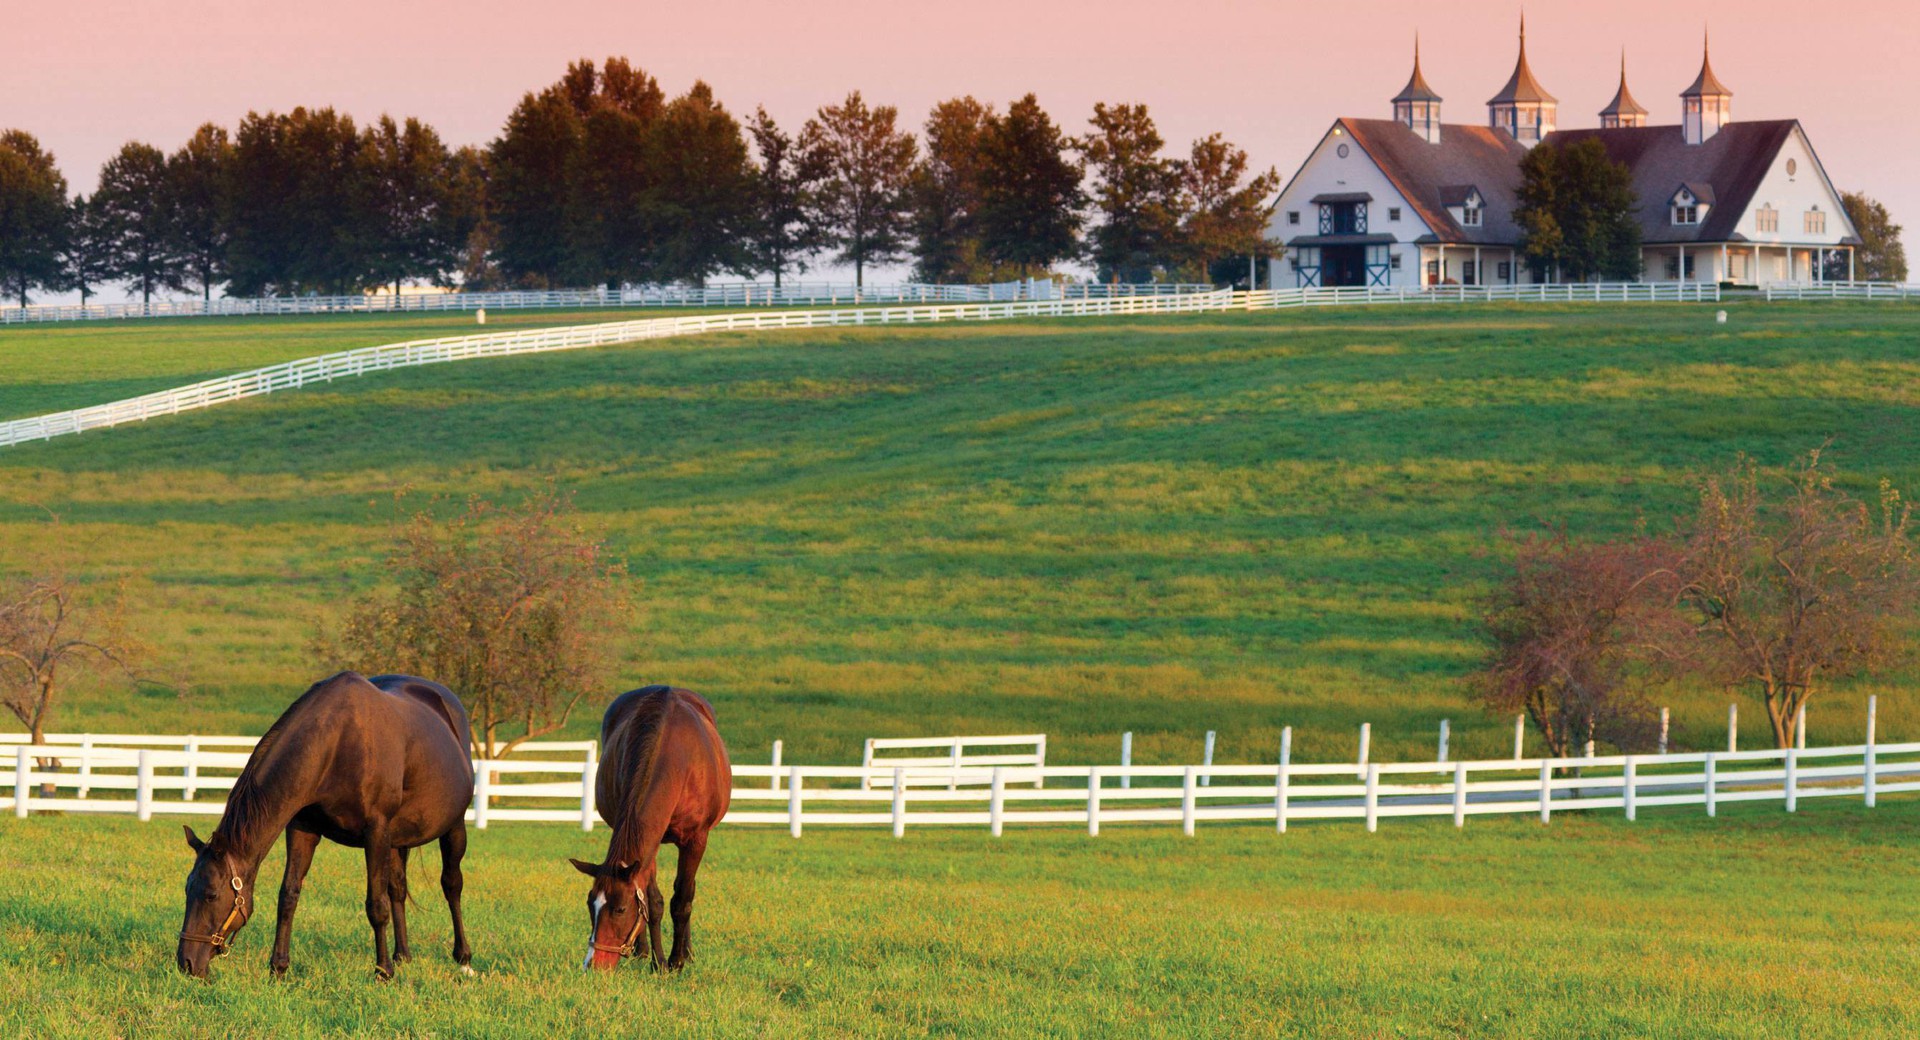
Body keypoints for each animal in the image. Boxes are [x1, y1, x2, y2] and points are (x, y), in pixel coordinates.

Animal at [176, 671, 476, 982]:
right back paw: (402, 955)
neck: (337, 744)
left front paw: (383, 972)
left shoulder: (376, 831)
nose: (186, 962)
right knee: (398, 889)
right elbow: (289, 895)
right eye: (187, 889)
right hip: (398, 839)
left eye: (211, 895)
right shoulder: (302, 828)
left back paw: (463, 958)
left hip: (453, 827)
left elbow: (376, 905)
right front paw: (278, 967)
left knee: (452, 884)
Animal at [568, 690, 725, 974]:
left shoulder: (696, 839)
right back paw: (641, 951)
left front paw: (676, 961)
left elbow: (682, 899)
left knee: (688, 891)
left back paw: (686, 951)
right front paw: (658, 961)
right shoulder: (649, 841)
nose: (594, 965)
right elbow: (653, 902)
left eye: (620, 909)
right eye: (589, 904)